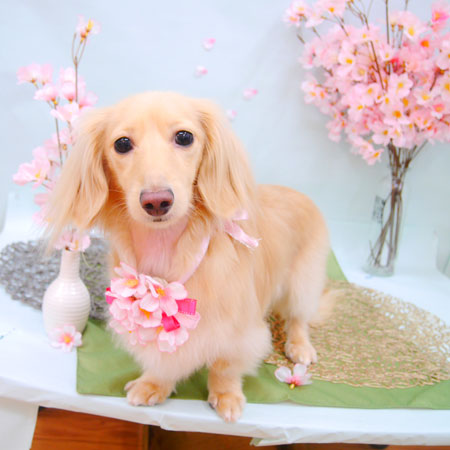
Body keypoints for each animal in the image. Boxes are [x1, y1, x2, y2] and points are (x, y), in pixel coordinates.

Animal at [46, 91, 330, 422]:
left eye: (184, 137)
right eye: (122, 143)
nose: (156, 201)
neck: (165, 251)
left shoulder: (239, 332)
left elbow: (224, 367)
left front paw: (226, 395)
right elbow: (163, 361)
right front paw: (153, 384)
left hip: (303, 280)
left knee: (298, 318)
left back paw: (300, 346)